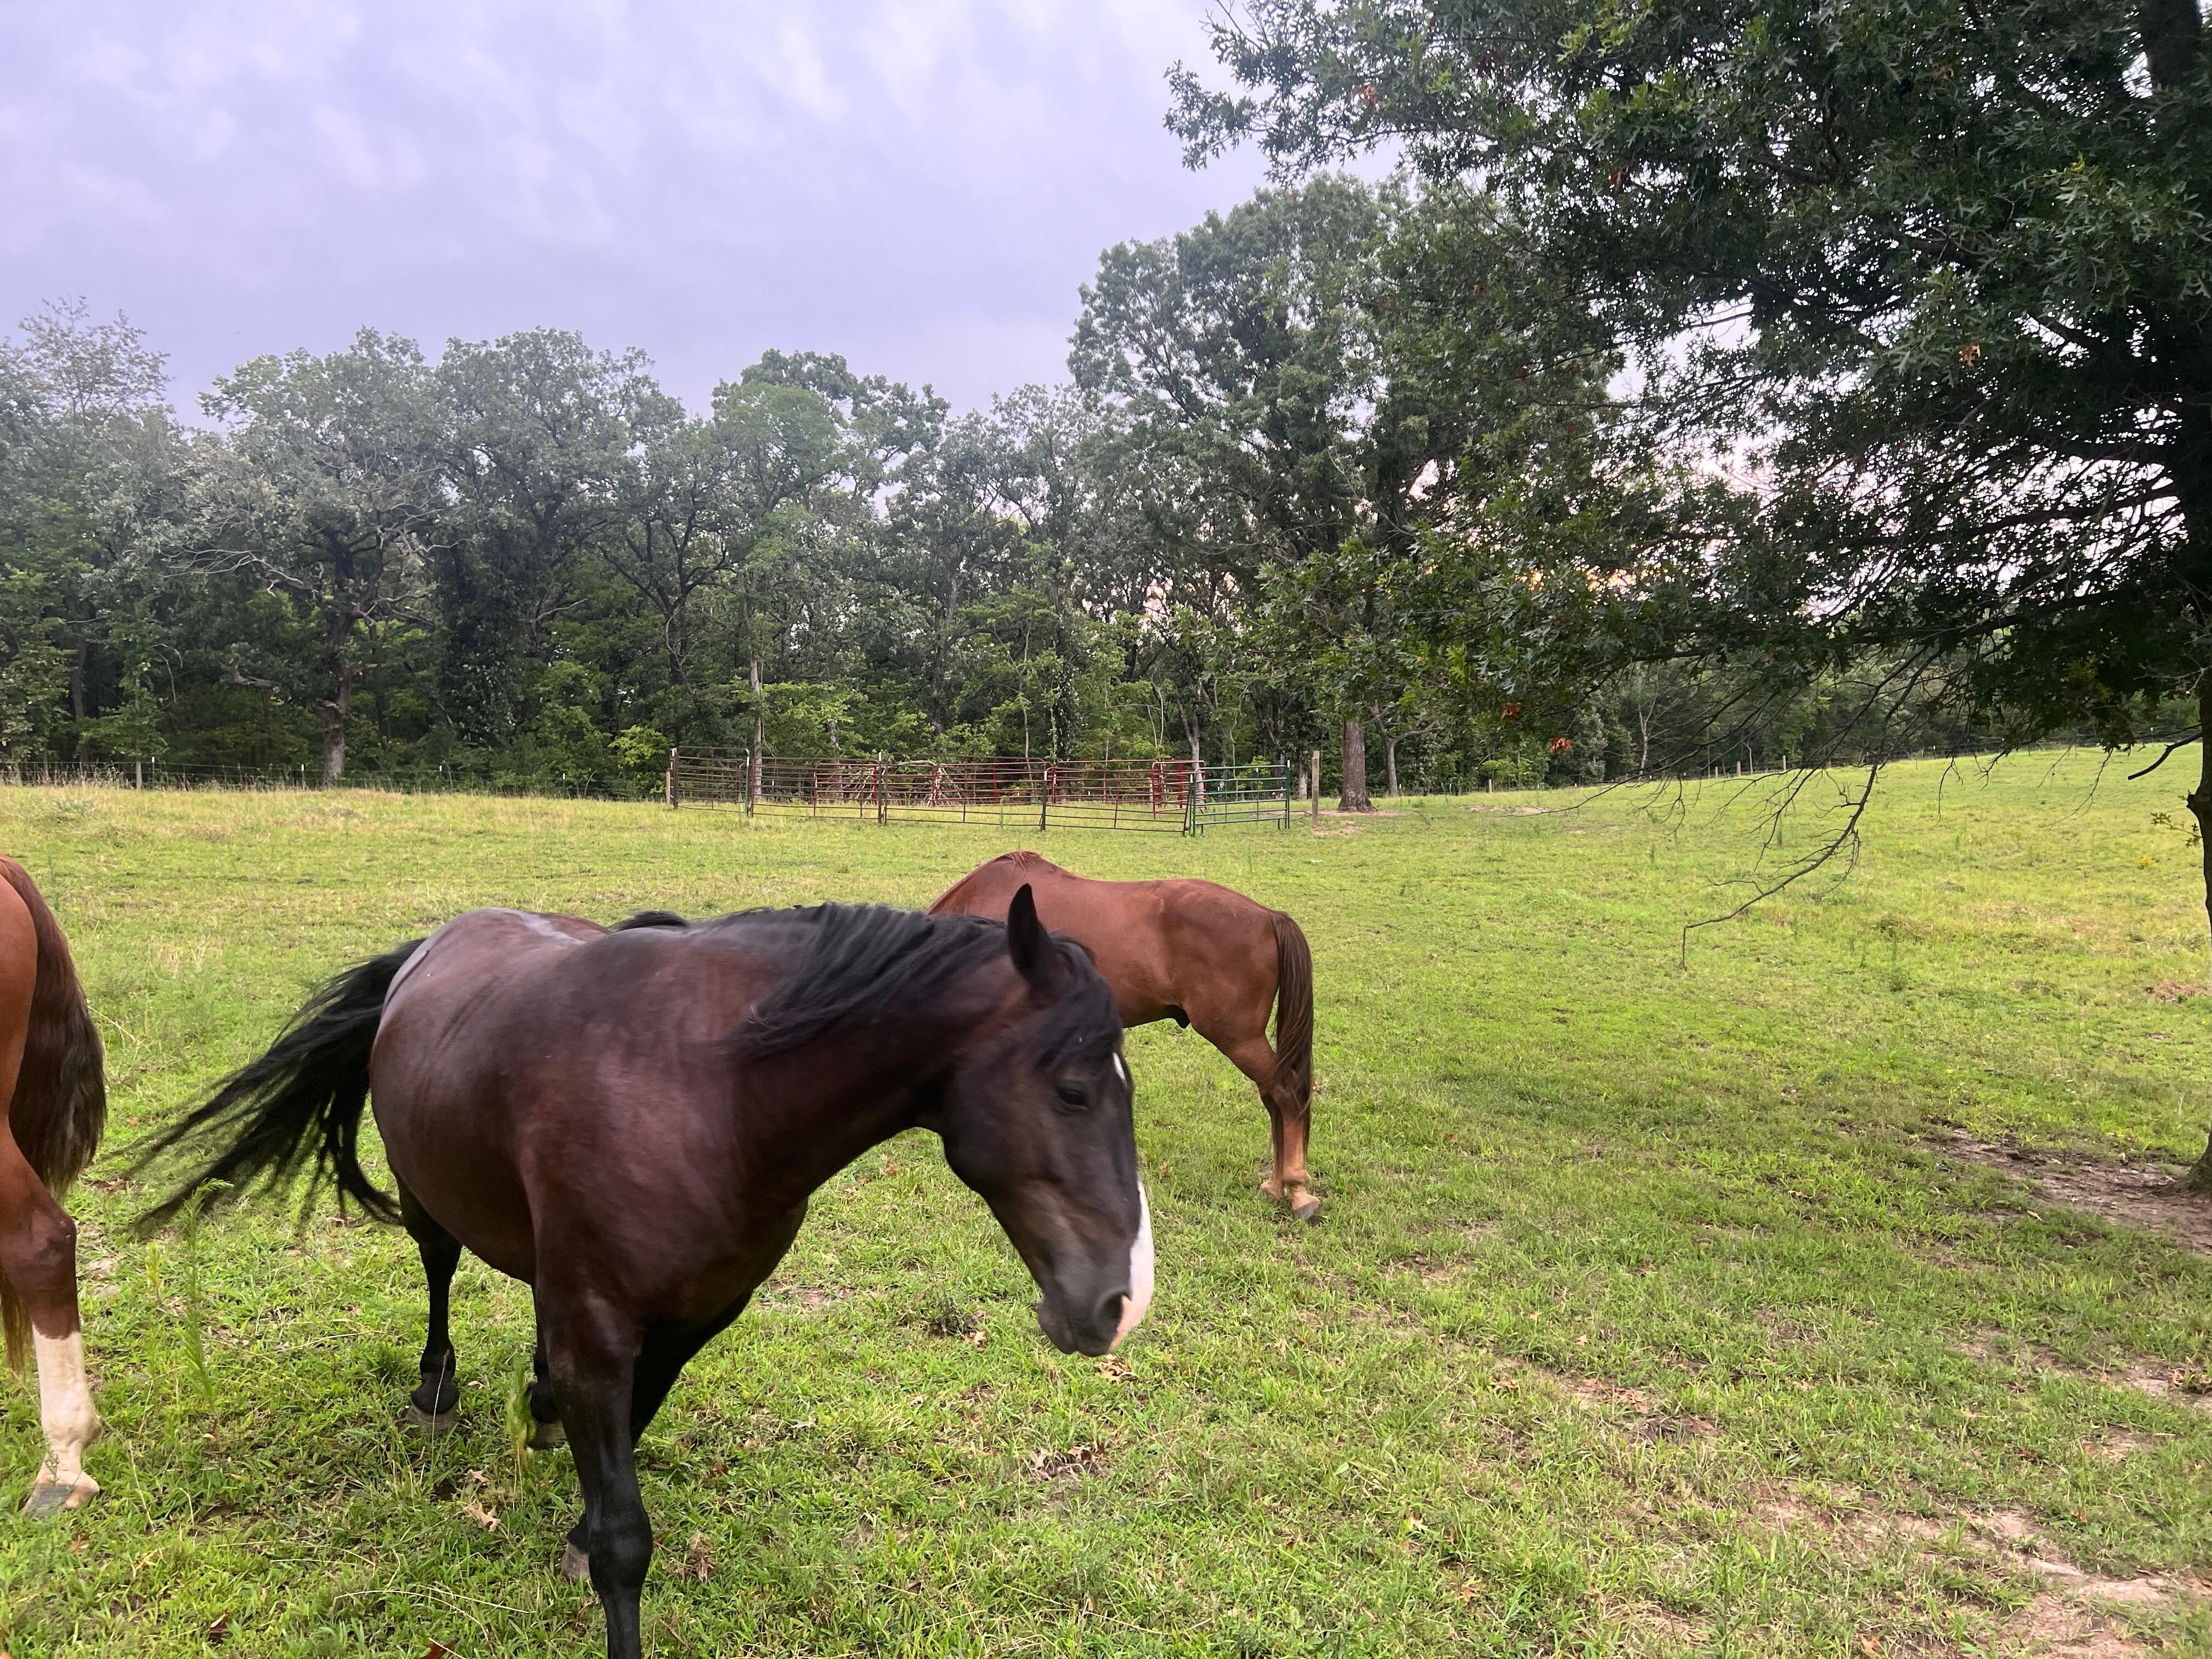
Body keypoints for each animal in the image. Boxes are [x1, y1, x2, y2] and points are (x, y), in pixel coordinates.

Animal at [135, 886, 1151, 1659]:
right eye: (1073, 1091)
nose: (1118, 1300)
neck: (714, 1096)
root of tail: (437, 940)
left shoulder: (695, 1315)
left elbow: (630, 1426)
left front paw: (567, 1481)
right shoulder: (597, 1321)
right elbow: (626, 1542)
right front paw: (590, 1526)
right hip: (431, 1202)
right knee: (438, 1268)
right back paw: (436, 1386)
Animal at [930, 851, 1317, 1220]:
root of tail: (1269, 917)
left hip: (1240, 1040)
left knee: (1286, 1096)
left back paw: (1298, 1191)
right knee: (1274, 1097)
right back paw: (1275, 1186)